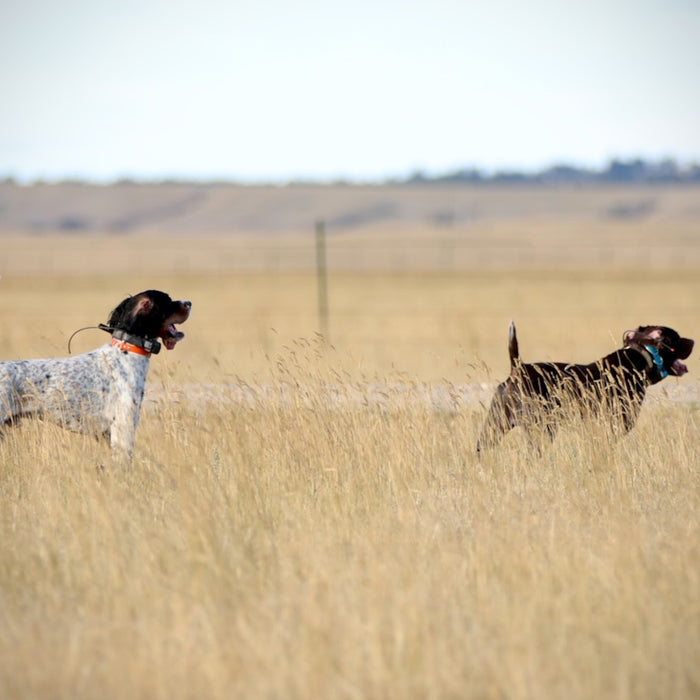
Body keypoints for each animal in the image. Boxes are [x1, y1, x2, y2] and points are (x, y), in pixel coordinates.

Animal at [476, 320, 696, 452]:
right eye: (677, 337)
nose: (693, 340)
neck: (641, 356)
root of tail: (518, 368)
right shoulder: (613, 427)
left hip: (495, 426)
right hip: (542, 429)